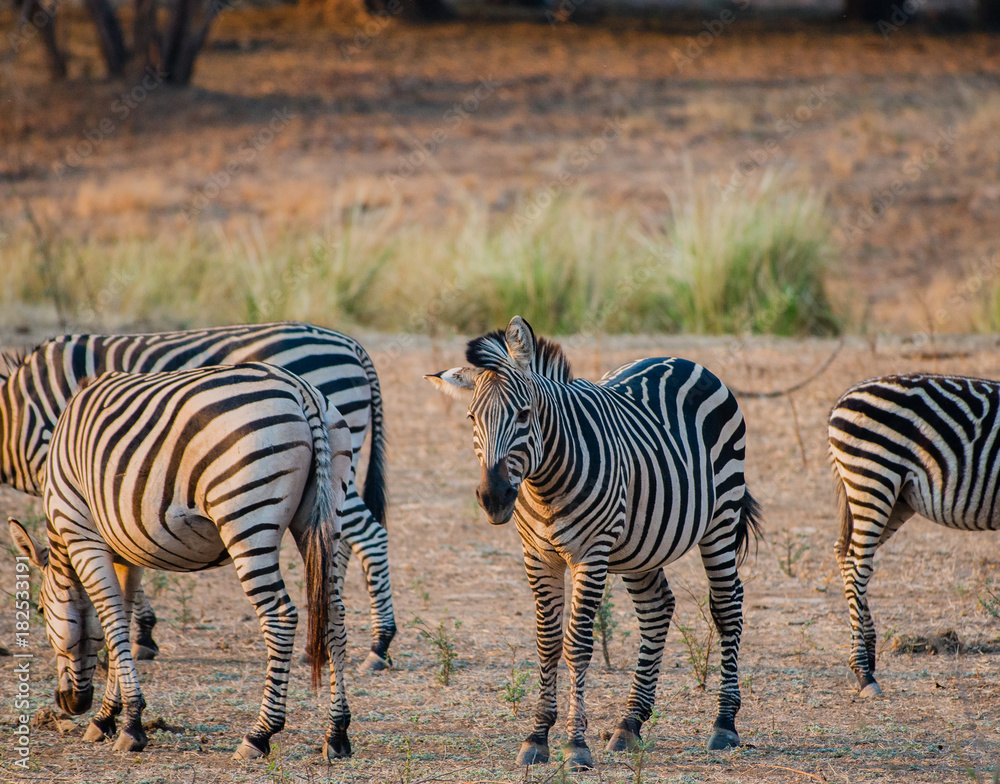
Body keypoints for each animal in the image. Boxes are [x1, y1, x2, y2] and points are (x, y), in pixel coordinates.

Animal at [0, 321, 395, 672]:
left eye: (38, 611)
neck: (20, 416)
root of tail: (350, 344)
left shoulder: (83, 484)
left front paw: (138, 637)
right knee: (337, 550)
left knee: (370, 537)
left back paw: (378, 646)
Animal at [9, 362, 354, 760]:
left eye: (38, 610)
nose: (69, 704)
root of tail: (301, 390)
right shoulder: (126, 552)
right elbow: (122, 619)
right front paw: (108, 716)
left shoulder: (83, 534)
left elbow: (111, 621)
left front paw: (130, 725)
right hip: (326, 515)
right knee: (335, 613)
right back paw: (337, 733)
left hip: (247, 519)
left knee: (280, 616)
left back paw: (259, 734)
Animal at [426, 316, 762, 769]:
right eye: (471, 416)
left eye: (524, 414)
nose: (493, 497)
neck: (543, 482)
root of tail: (682, 359)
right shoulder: (538, 557)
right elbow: (547, 642)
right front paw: (537, 736)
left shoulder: (591, 554)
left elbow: (578, 645)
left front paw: (575, 744)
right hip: (642, 544)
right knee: (657, 610)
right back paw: (629, 725)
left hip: (721, 517)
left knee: (727, 605)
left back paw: (724, 724)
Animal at [830, 372, 1000, 697]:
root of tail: (843, 398)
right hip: (874, 479)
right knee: (858, 566)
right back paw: (864, 674)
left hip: (898, 498)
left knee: (845, 556)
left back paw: (868, 657)